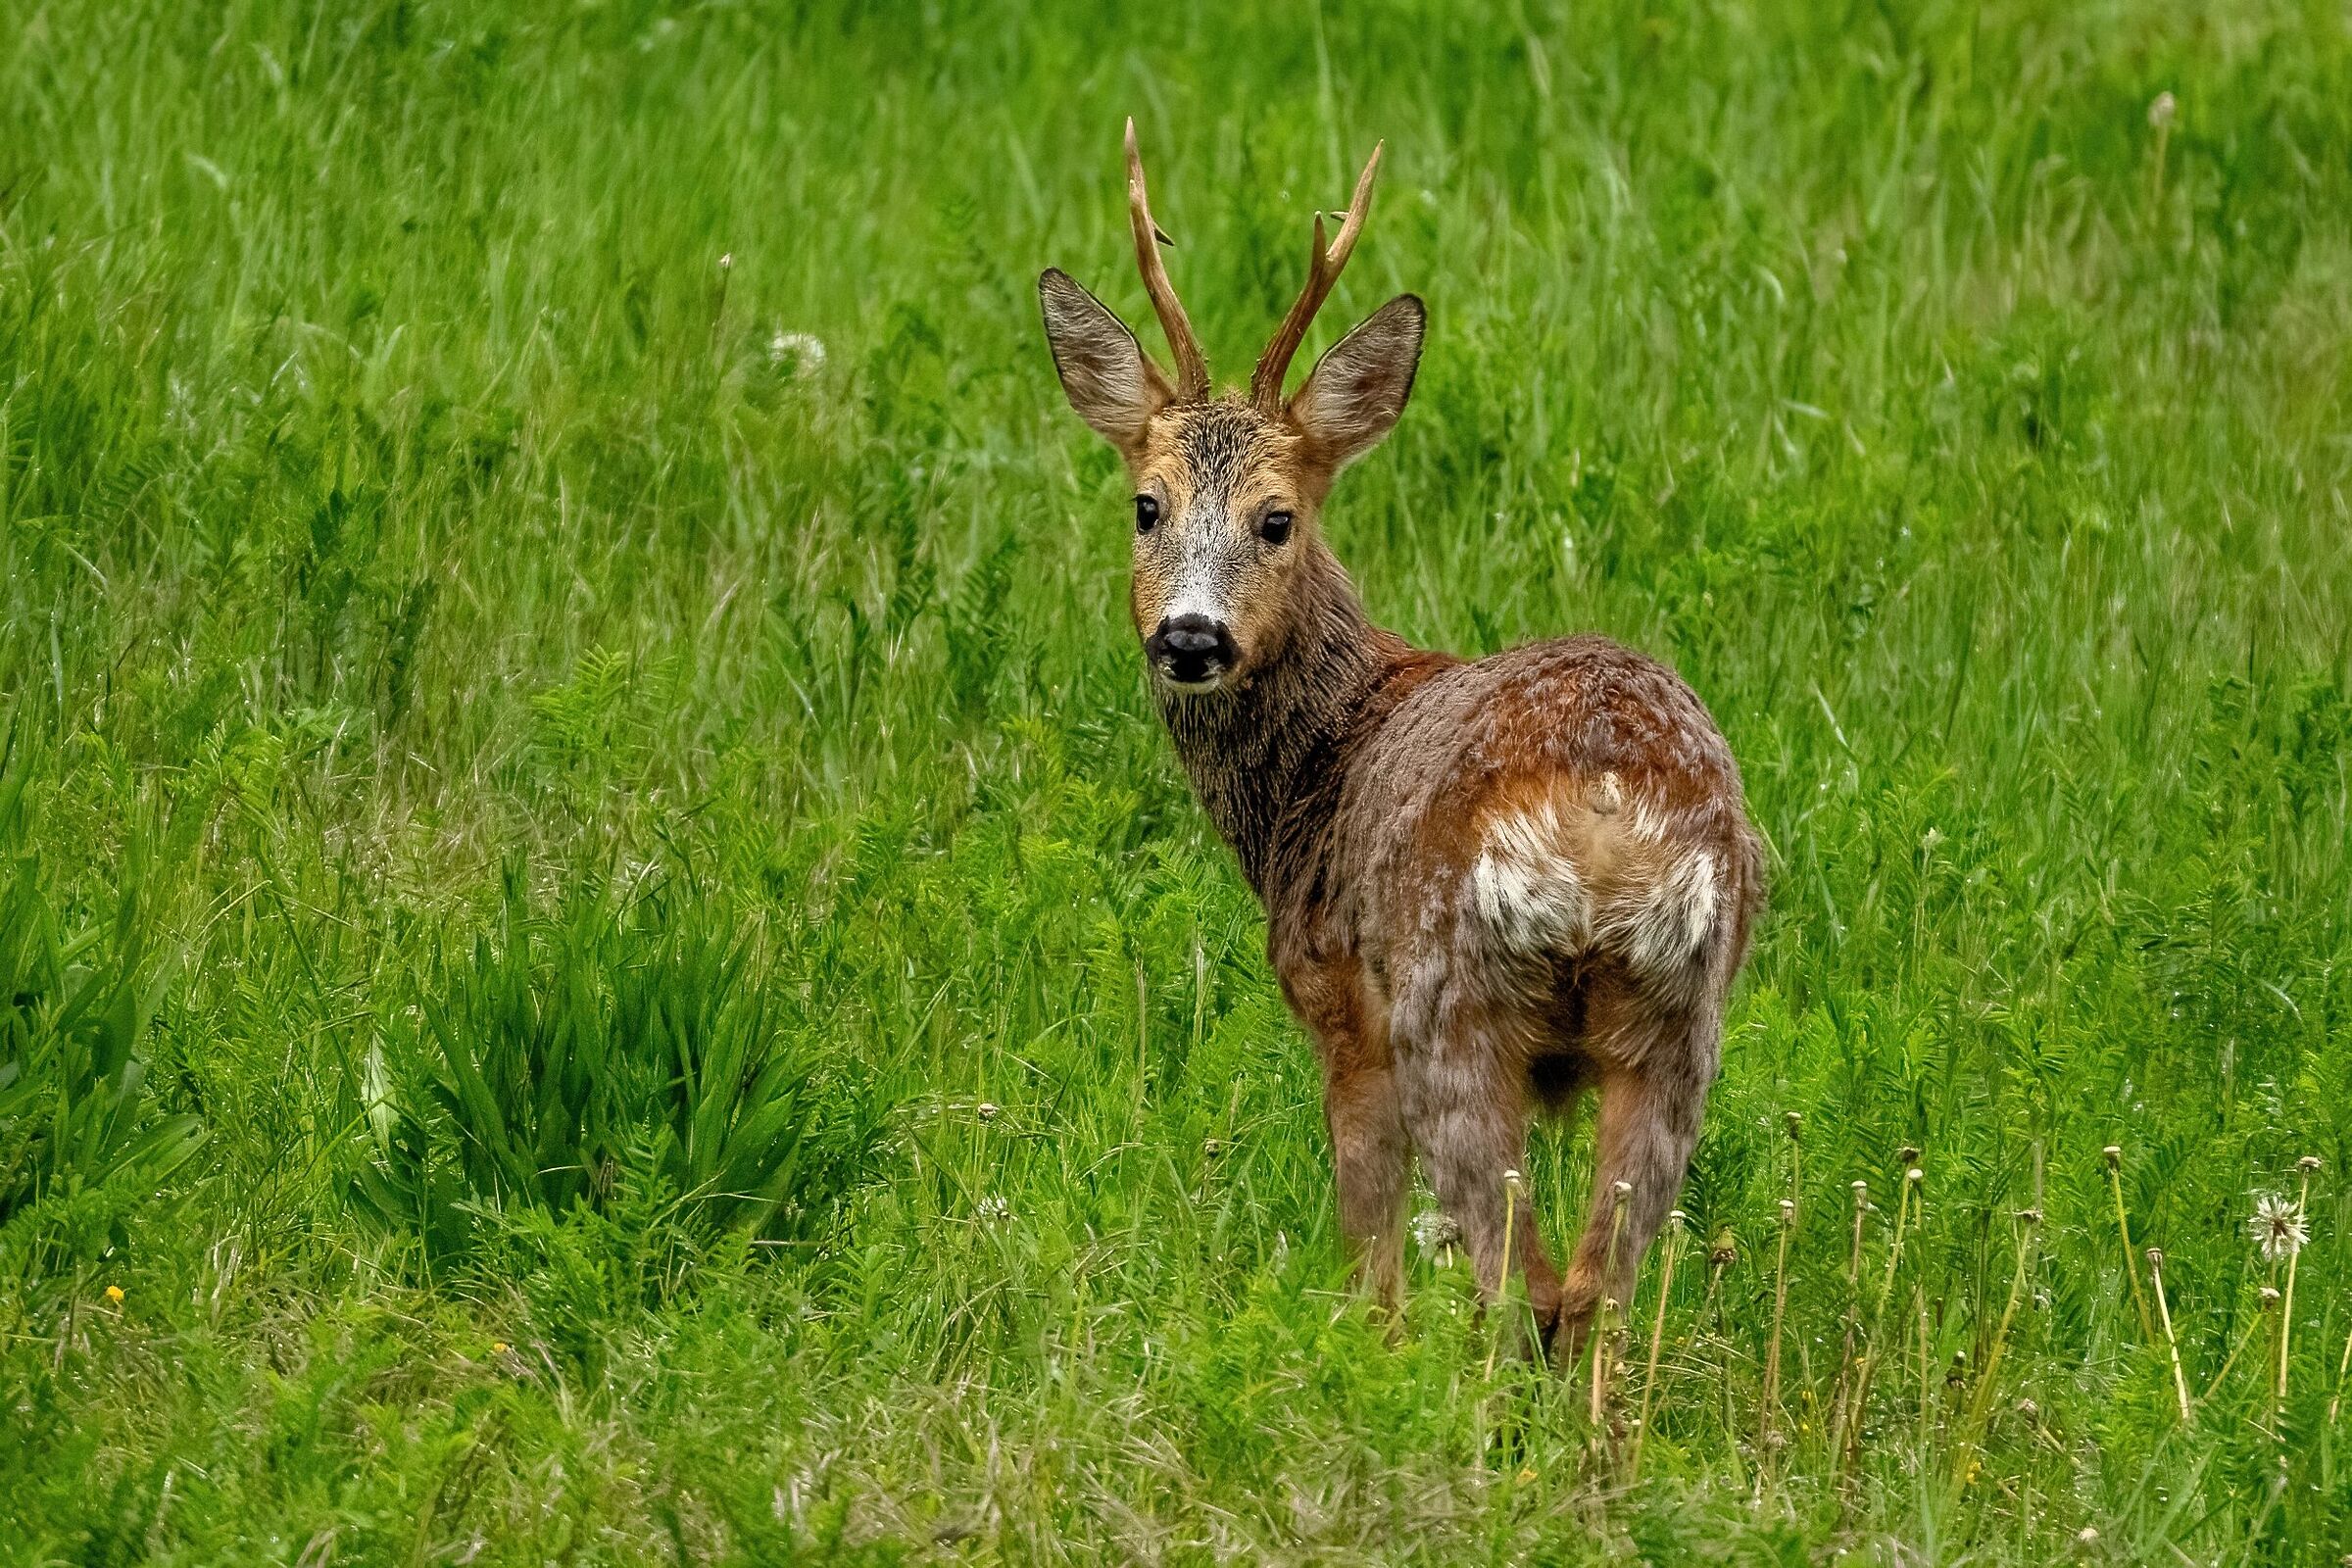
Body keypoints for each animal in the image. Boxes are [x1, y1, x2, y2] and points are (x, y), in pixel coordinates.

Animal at [1036, 122, 1764, 1359]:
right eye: (1146, 504)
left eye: (1276, 518)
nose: (1190, 635)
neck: (1318, 762)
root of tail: (1606, 806)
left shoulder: (1340, 1006)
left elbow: (1366, 1248)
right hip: (1682, 1024)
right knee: (1602, 1287)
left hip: (1450, 1002)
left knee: (1526, 1282)